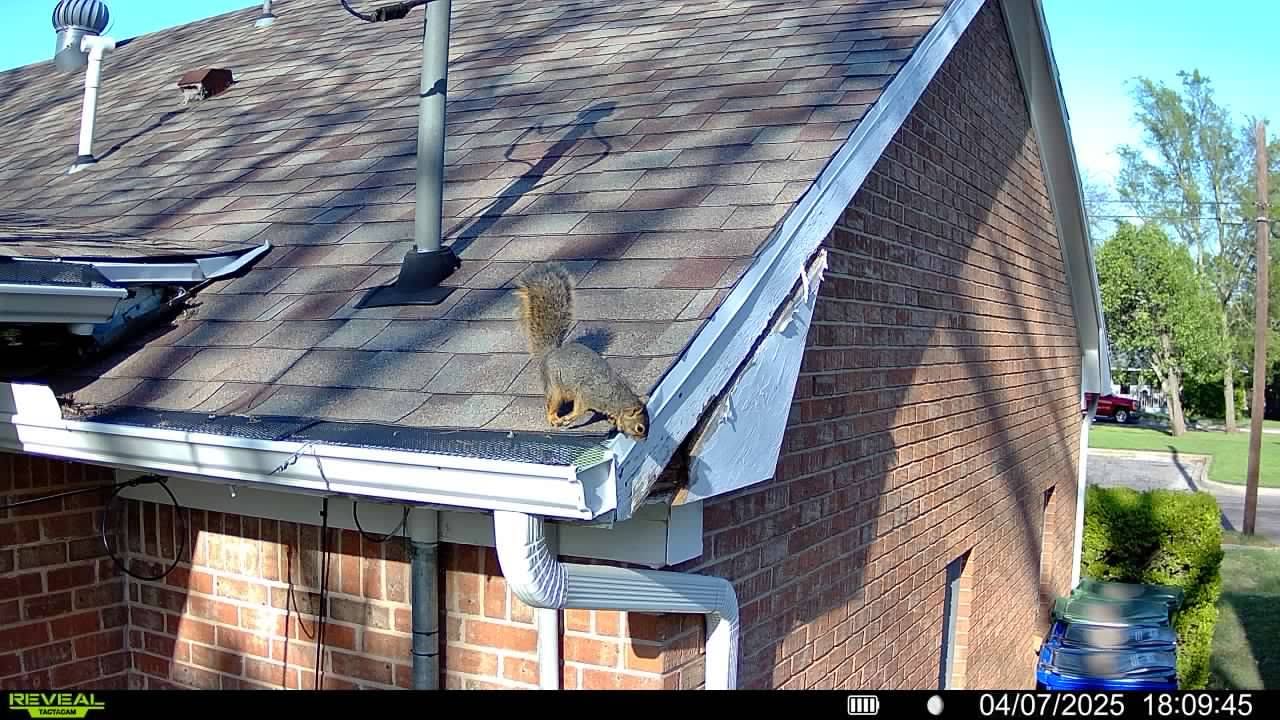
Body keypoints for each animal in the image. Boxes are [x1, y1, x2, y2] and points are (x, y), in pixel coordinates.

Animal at [513, 262, 649, 439]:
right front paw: (570, 418)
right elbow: (579, 409)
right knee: (550, 403)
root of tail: (550, 352)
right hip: (556, 387)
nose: (644, 440)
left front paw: (612, 420)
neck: (616, 400)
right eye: (640, 428)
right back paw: (554, 418)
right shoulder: (587, 394)